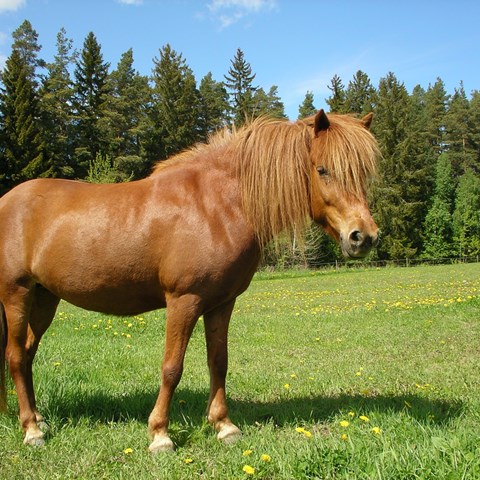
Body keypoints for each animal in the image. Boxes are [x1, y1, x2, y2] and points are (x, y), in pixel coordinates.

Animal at [0, 110, 380, 452]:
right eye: (323, 170)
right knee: (16, 357)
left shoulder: (222, 303)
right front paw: (160, 434)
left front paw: (224, 426)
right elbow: (172, 367)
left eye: (364, 174)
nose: (363, 237)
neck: (216, 206)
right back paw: (32, 431)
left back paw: (34, 419)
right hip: (17, 294)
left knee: (28, 354)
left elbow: (219, 361)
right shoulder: (184, 300)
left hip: (45, 298)